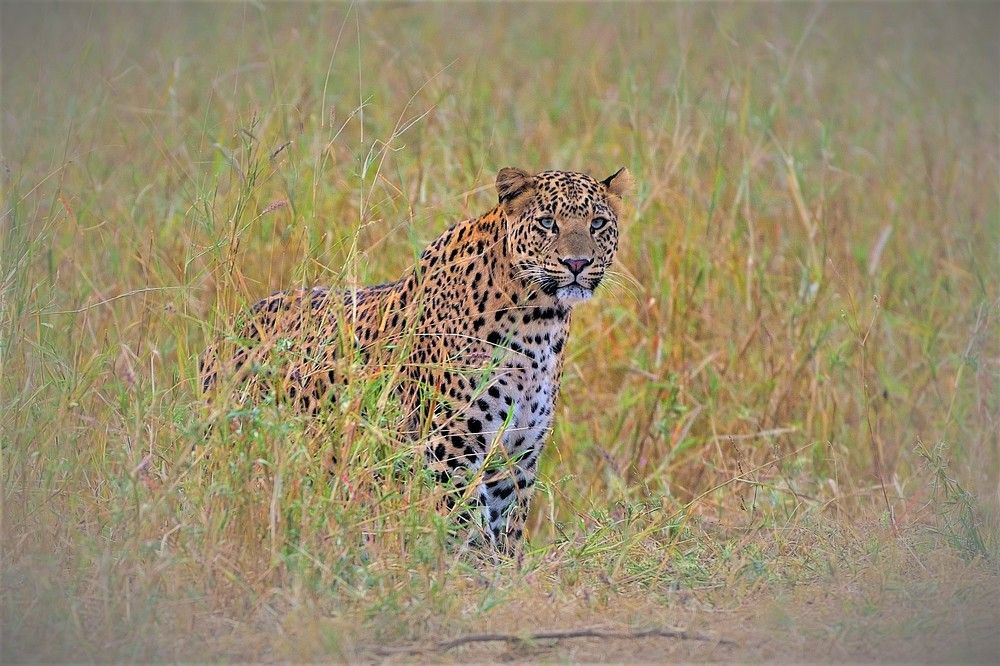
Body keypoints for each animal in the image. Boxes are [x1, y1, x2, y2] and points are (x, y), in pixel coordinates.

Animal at [199, 166, 632, 555]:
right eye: (547, 223)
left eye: (597, 224)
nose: (577, 264)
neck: (539, 323)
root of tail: (229, 328)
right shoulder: (451, 449)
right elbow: (468, 532)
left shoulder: (518, 456)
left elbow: (507, 532)